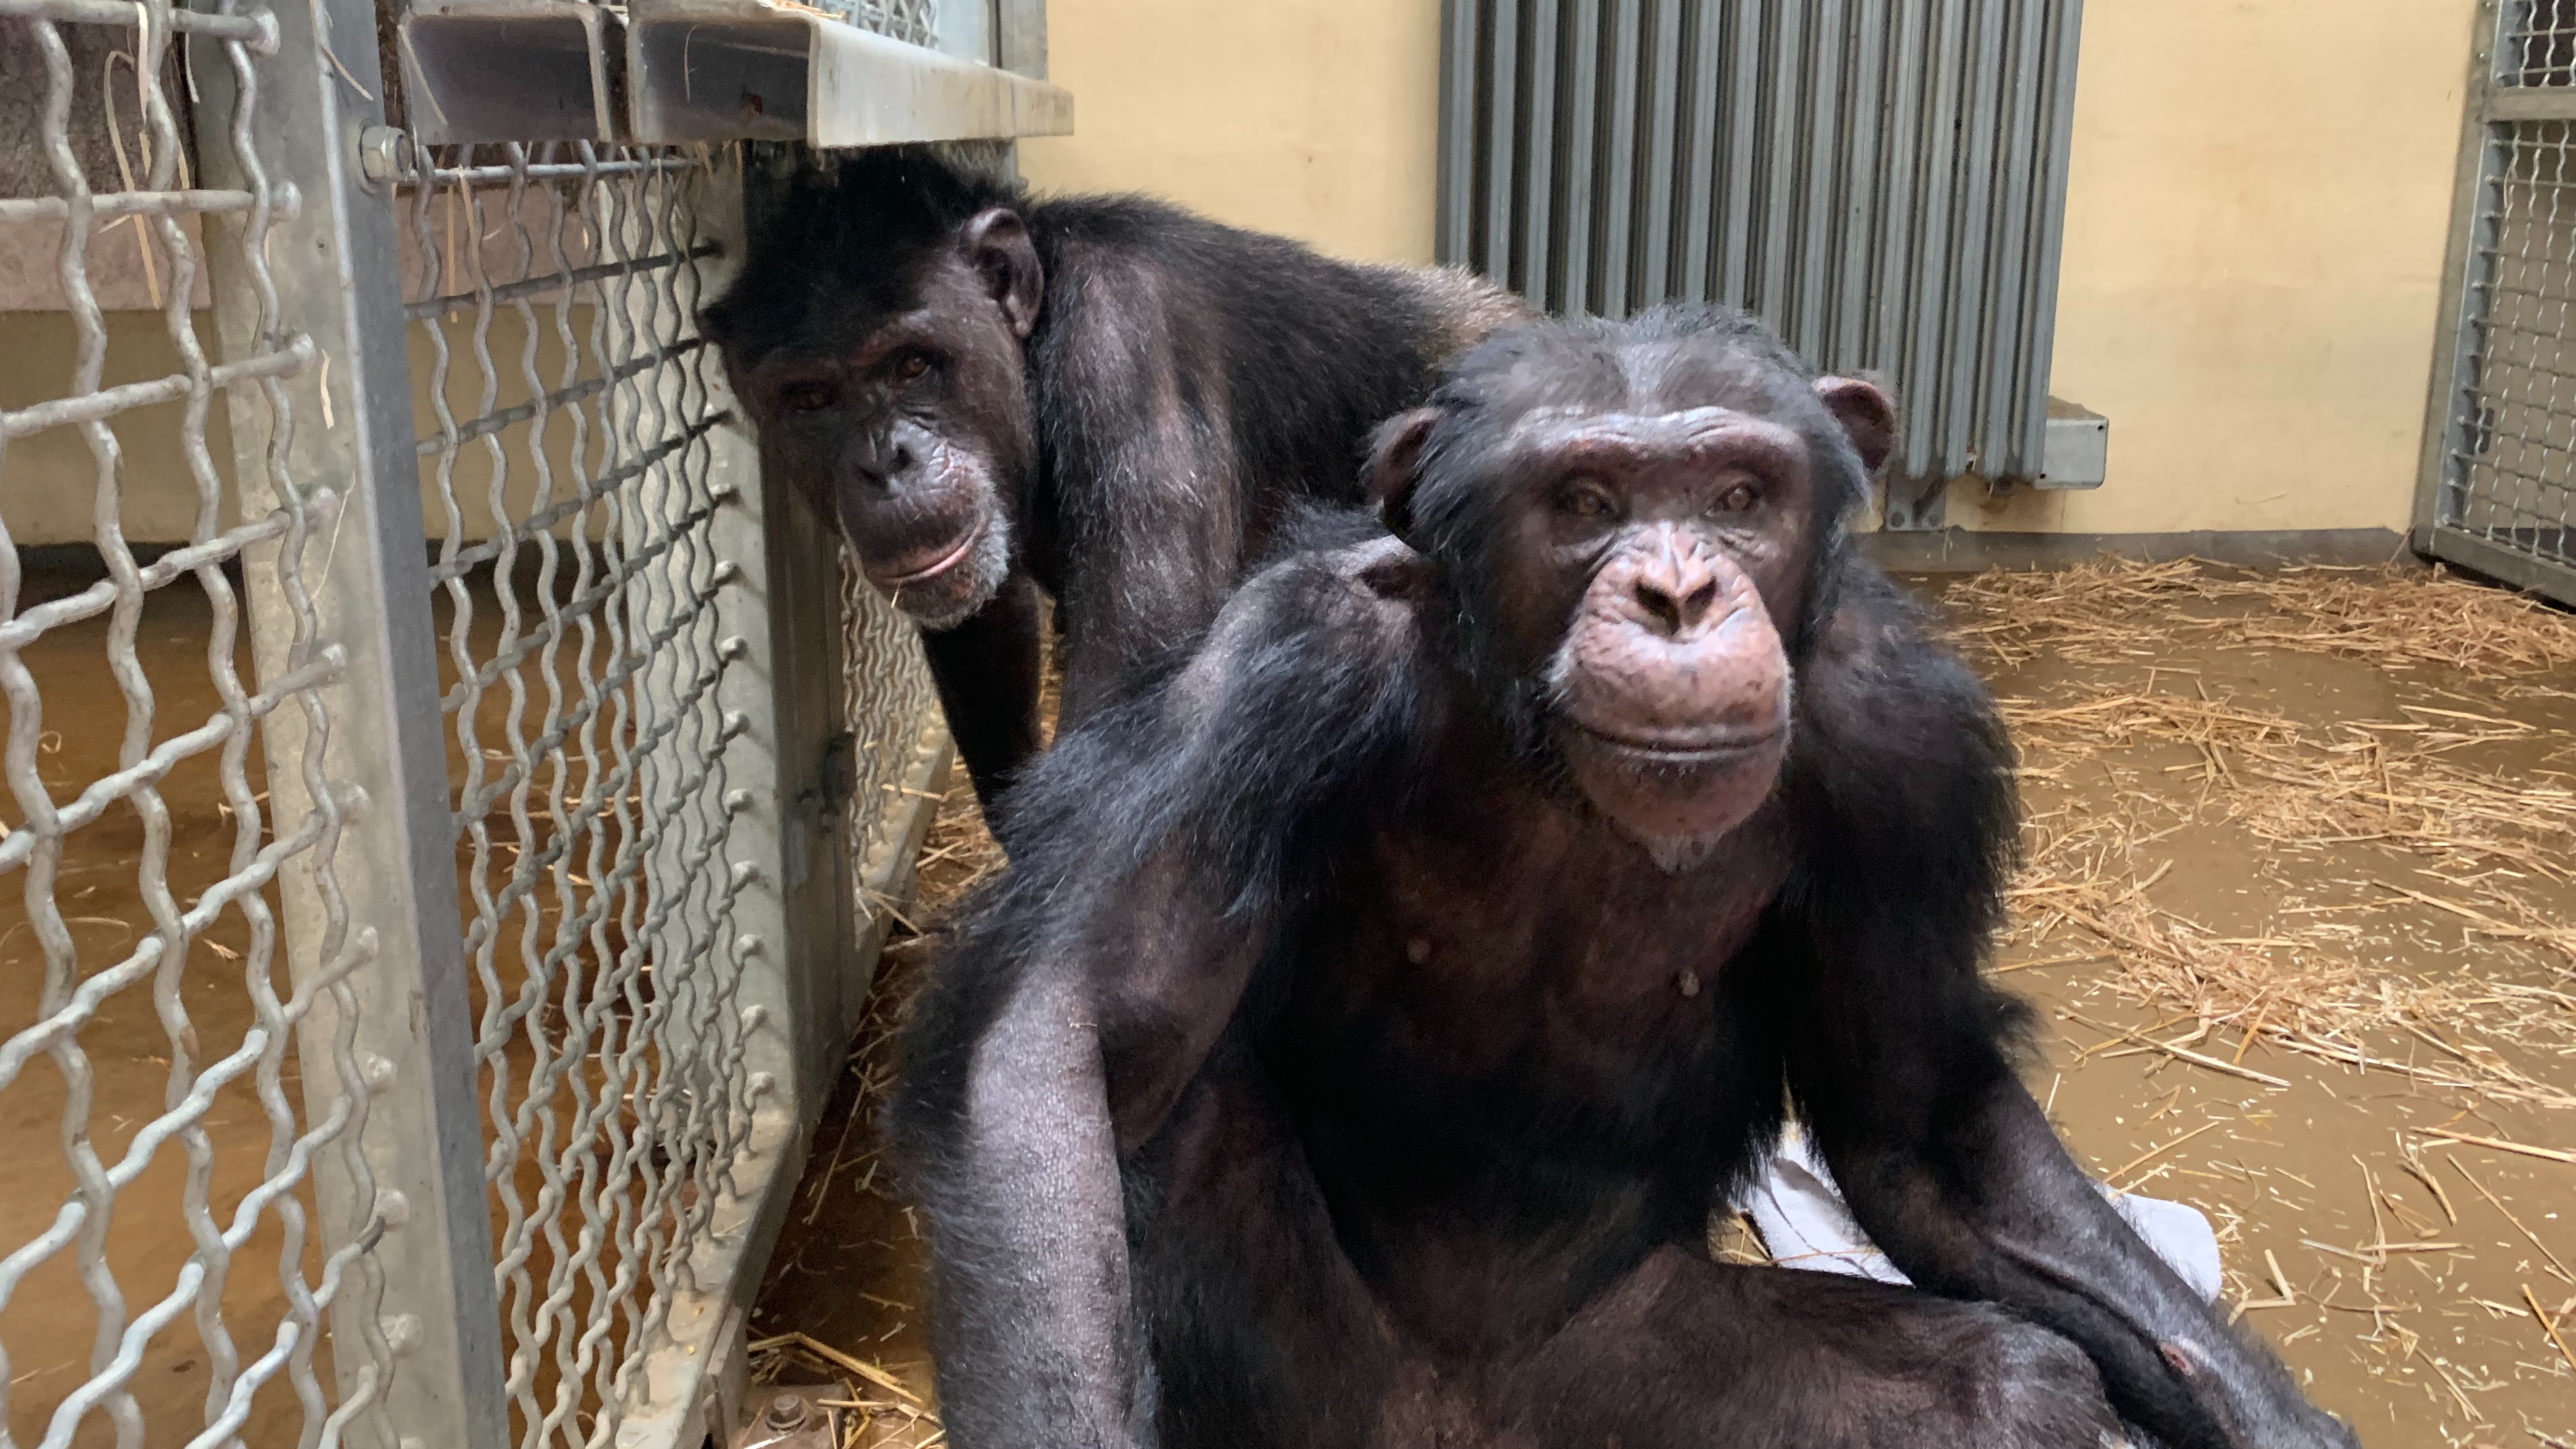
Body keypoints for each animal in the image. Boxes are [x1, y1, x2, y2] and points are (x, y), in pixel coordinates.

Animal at [891, 307, 2359, 1443]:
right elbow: (1066, 1036)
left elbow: (1923, 1130)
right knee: (1159, 1108)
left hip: (1627, 1377)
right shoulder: (1276, 664)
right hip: (1316, 1384)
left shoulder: (1908, 746)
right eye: (1586, 503)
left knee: (2019, 1388)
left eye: (1738, 496)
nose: (1675, 593)